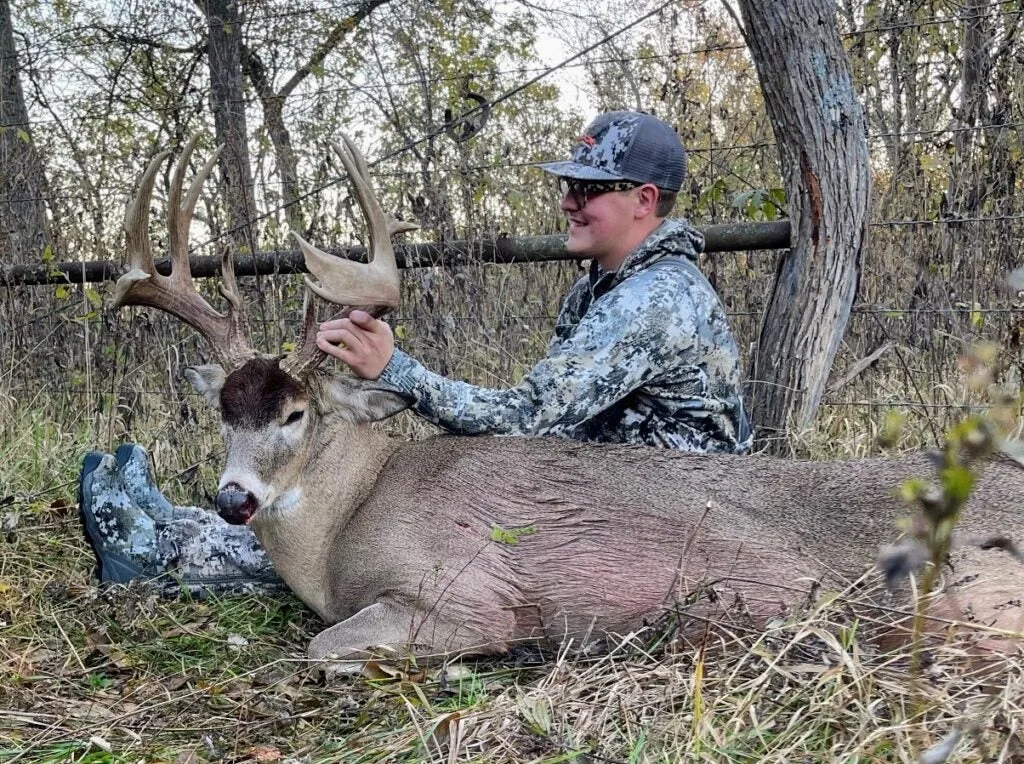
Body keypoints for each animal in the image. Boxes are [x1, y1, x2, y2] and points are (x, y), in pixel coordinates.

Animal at [116, 134, 1019, 663]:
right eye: (225, 411)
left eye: (296, 414)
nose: (234, 499)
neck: (345, 526)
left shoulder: (464, 591)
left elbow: (325, 649)